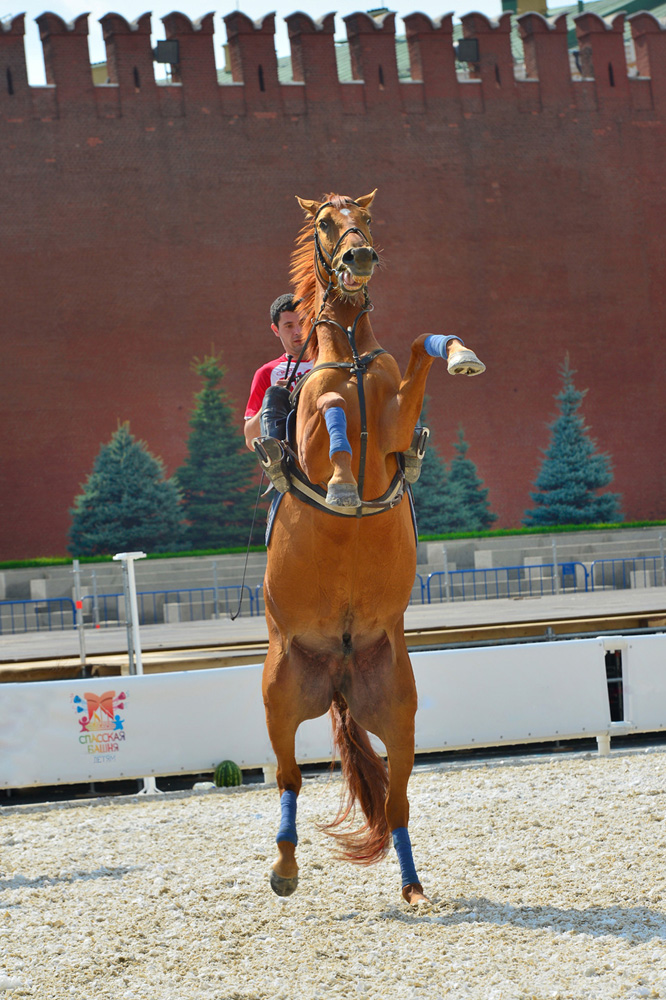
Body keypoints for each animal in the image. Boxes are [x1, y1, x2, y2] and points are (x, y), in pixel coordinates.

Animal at [256, 188, 464, 908]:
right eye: (325, 223)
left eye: (365, 218)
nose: (359, 257)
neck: (346, 348)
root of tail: (340, 672)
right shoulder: (314, 424)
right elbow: (334, 419)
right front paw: (345, 485)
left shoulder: (396, 412)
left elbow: (422, 360)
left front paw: (459, 351)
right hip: (280, 695)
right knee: (288, 778)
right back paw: (285, 867)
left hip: (396, 709)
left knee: (397, 799)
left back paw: (413, 886)